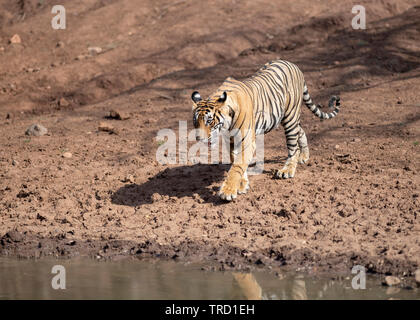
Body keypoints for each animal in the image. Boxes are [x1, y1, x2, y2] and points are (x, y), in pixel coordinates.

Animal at [192, 58, 340, 201]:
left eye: (209, 121)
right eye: (195, 122)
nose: (199, 138)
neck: (226, 126)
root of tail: (293, 65)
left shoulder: (246, 141)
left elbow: (237, 166)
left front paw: (228, 191)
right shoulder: (231, 142)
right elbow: (236, 162)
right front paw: (242, 185)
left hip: (290, 117)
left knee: (294, 147)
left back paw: (287, 170)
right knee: (301, 131)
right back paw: (304, 156)